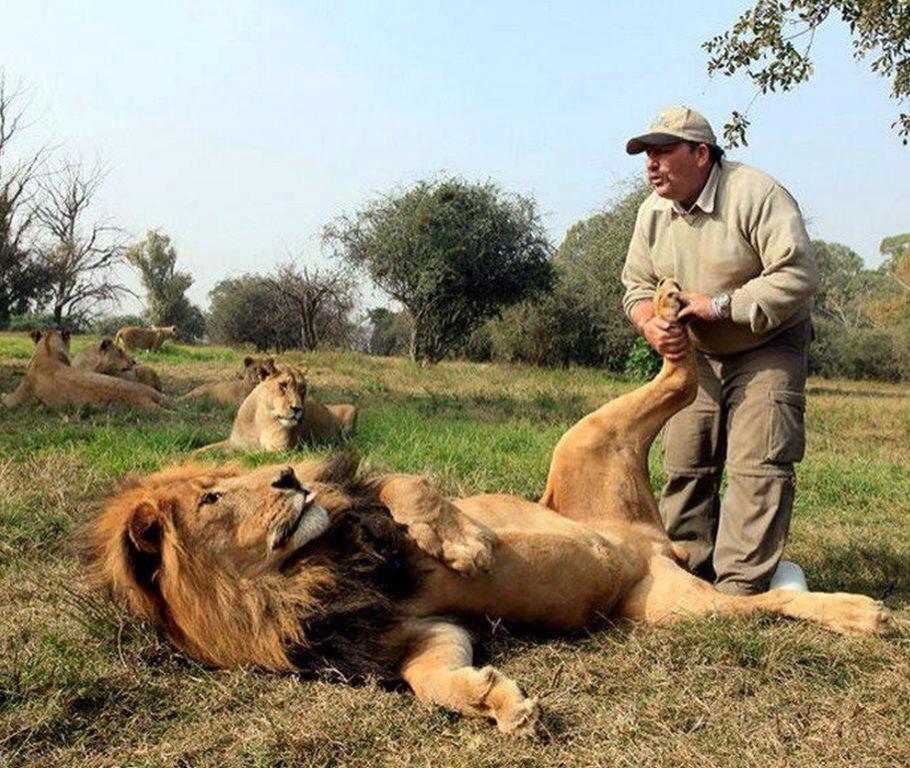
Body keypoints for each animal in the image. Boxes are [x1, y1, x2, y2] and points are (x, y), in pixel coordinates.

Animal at [91, 282, 892, 736]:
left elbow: (403, 488)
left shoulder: (371, 504)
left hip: (586, 440)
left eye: (235, 477)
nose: (290, 476)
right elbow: (431, 677)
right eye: (214, 497)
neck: (297, 577)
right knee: (760, 602)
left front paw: (467, 547)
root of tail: (650, 543)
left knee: (679, 373)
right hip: (670, 607)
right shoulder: (412, 632)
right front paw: (498, 703)